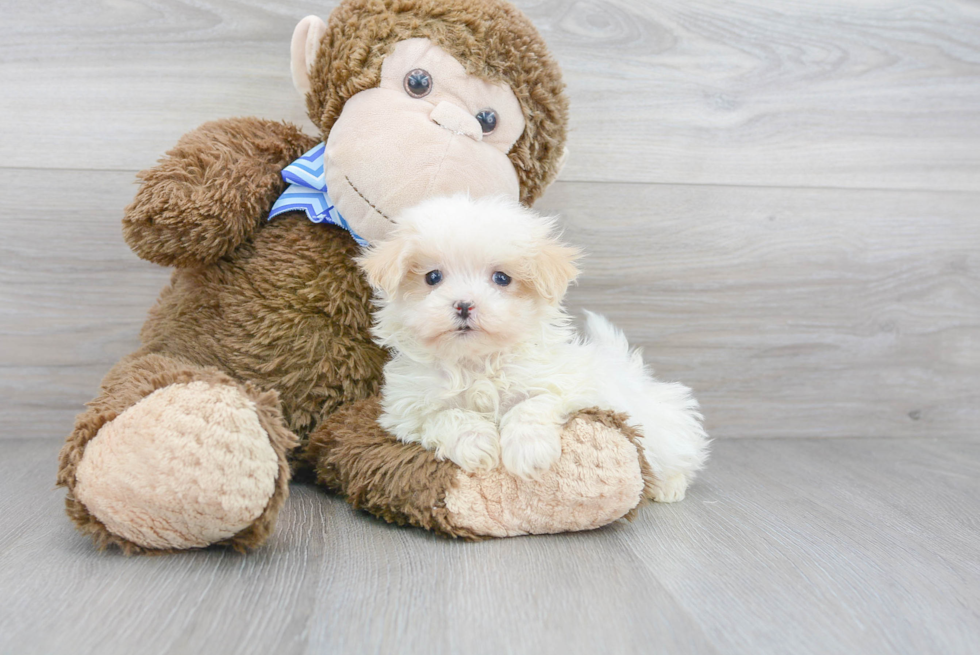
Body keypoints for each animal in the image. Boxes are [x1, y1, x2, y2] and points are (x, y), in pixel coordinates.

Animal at [356, 195, 708, 502]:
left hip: (663, 429)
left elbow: (533, 404)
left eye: (501, 278)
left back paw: (669, 487)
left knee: (678, 459)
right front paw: (476, 443)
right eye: (432, 277)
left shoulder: (568, 385)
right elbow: (447, 415)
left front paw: (529, 452)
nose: (464, 305)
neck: (476, 361)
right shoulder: (407, 410)